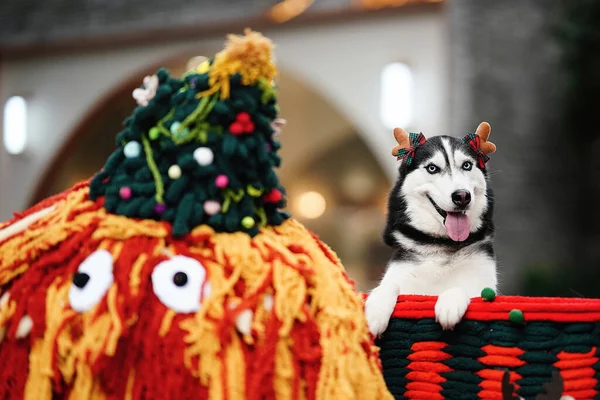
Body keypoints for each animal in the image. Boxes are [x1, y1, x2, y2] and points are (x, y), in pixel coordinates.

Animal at [366, 123, 496, 336]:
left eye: (467, 165)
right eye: (432, 168)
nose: (462, 196)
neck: (442, 244)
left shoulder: (485, 286)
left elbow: (465, 289)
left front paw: (450, 301)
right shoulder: (403, 276)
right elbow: (388, 285)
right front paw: (376, 309)